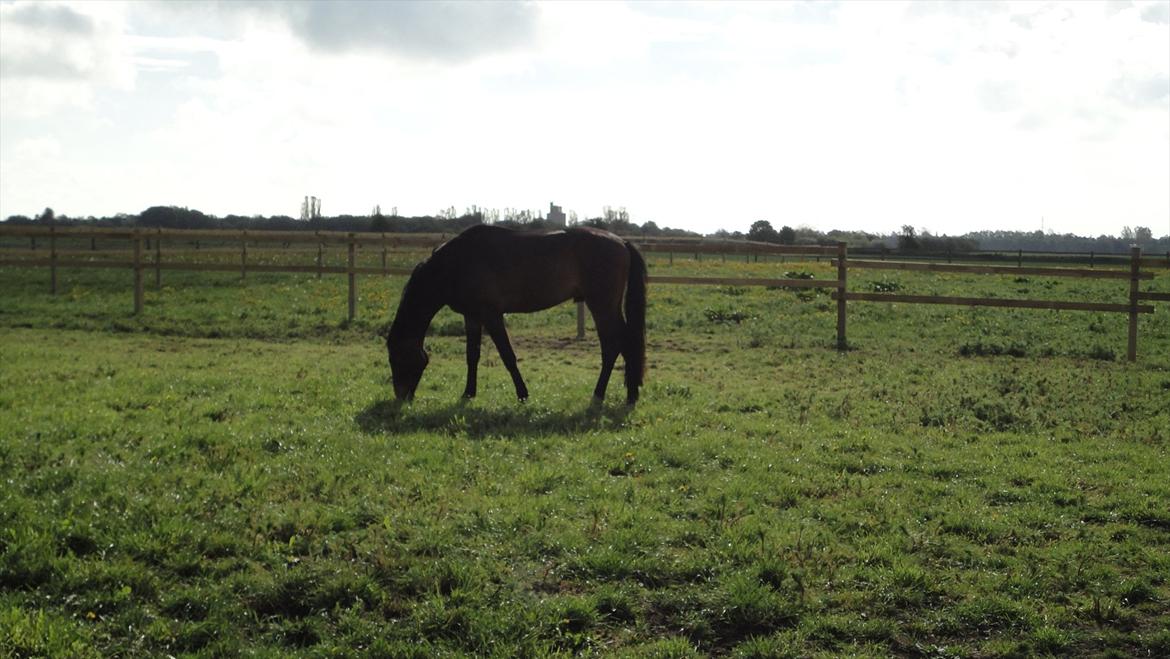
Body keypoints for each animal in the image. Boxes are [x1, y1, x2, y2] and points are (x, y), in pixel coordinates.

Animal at [390, 224, 650, 404]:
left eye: (396, 358)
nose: (401, 397)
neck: (454, 263)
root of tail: (621, 241)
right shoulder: (472, 316)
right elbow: (472, 356)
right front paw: (468, 393)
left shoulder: (492, 315)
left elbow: (508, 356)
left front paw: (523, 394)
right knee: (625, 344)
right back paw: (631, 394)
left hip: (601, 305)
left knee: (612, 346)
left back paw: (599, 395)